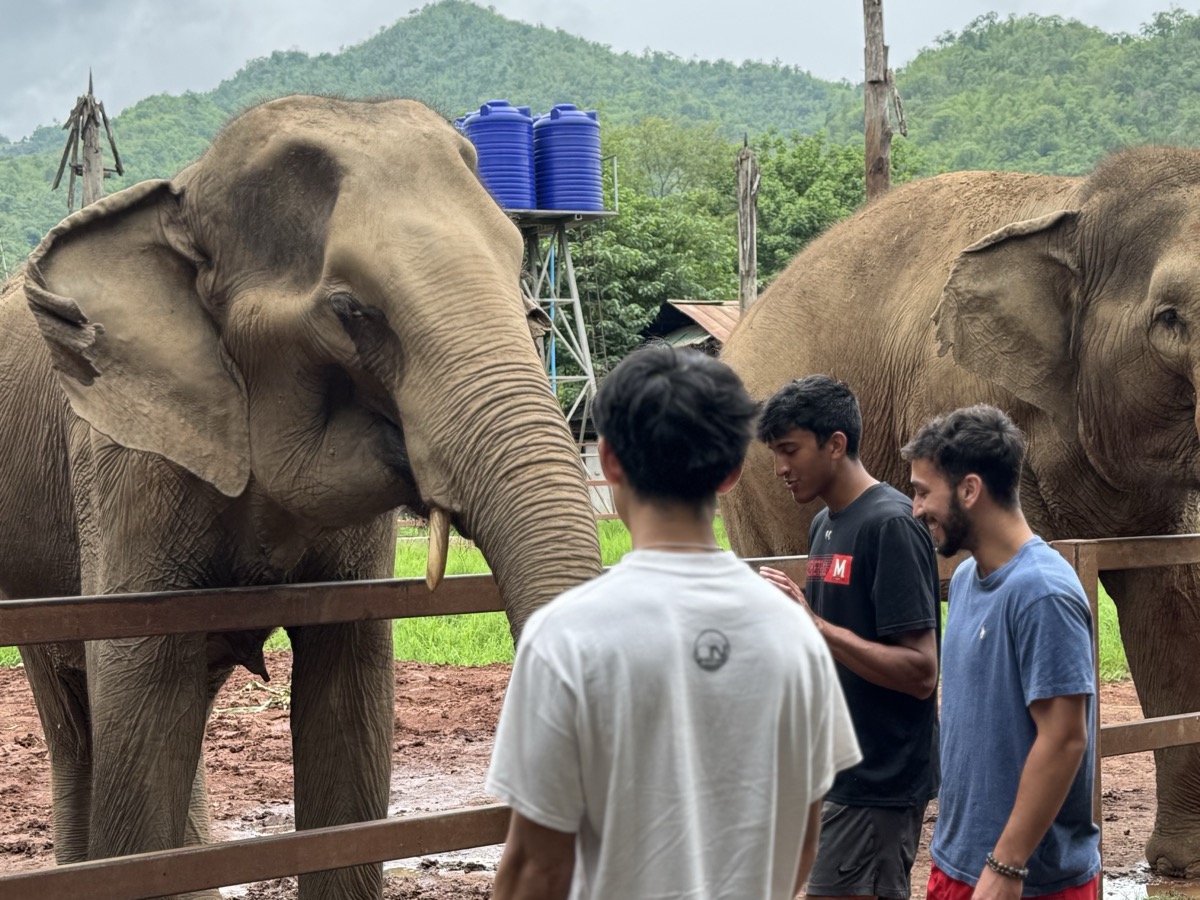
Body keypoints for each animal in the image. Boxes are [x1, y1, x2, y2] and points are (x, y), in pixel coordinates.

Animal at [0, 96, 601, 899]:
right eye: (352, 311)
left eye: (531, 306)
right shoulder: (124, 460)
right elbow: (140, 700)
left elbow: (350, 703)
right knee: (74, 713)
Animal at [721, 147, 1200, 878]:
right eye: (1170, 318)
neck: (1074, 207)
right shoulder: (973, 405)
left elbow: (1168, 603)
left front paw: (1178, 866)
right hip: (751, 493)